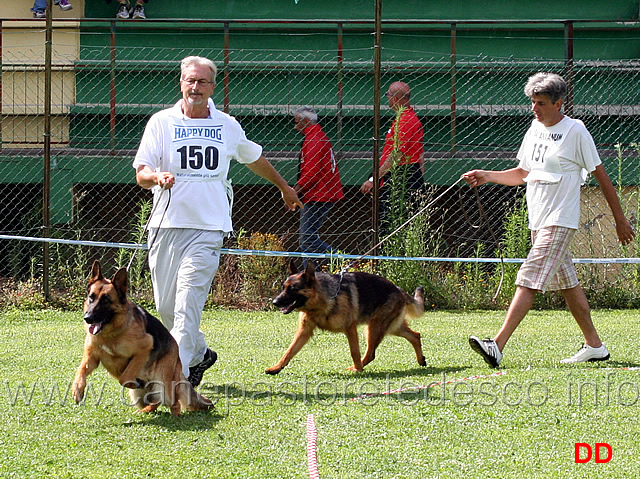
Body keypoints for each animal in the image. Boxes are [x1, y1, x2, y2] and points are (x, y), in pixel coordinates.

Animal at [72, 260, 212, 414]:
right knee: (156, 400)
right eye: (91, 297)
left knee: (174, 403)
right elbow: (80, 370)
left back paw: (175, 415)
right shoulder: (91, 357)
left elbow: (124, 377)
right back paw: (145, 409)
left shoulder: (145, 347)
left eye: (106, 300)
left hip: (164, 382)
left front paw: (135, 381)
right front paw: (77, 390)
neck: (111, 333)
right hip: (138, 396)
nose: (87, 318)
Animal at [268, 262, 428, 376]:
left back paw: (358, 367)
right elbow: (289, 351)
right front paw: (276, 368)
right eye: (283, 287)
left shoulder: (350, 328)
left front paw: (358, 370)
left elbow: (354, 352)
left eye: (292, 289)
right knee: (415, 335)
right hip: (389, 327)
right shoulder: (304, 332)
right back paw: (421, 360)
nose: (275, 302)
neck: (321, 301)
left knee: (371, 353)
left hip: (374, 328)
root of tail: (398, 289)